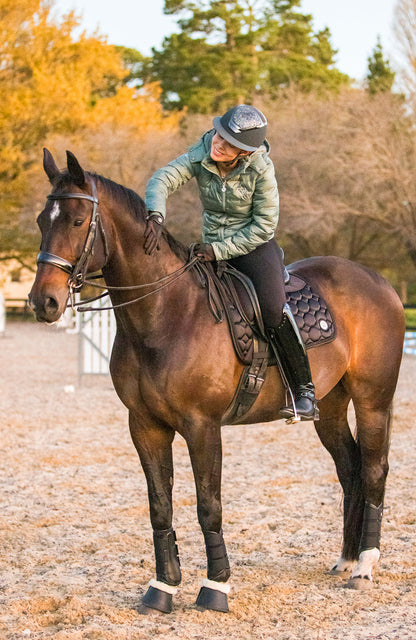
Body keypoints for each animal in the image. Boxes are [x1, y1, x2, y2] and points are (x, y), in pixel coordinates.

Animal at [29, 149, 405, 614]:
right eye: (43, 221)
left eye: (79, 221)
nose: (43, 302)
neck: (167, 314)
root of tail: (378, 281)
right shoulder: (145, 426)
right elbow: (160, 506)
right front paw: (162, 588)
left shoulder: (202, 427)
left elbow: (209, 506)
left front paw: (215, 587)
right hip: (330, 408)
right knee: (350, 469)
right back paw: (346, 559)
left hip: (373, 401)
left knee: (373, 469)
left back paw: (365, 566)